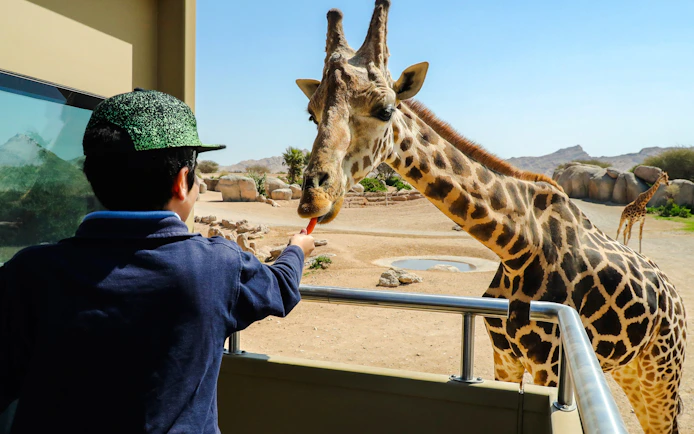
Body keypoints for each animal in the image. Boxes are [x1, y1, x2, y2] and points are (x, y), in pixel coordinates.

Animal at [294, 2, 687, 432]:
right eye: (312, 114)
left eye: (385, 110)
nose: (312, 197)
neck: (517, 245)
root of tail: (675, 298)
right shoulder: (505, 357)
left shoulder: (550, 365)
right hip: (630, 369)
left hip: (661, 374)